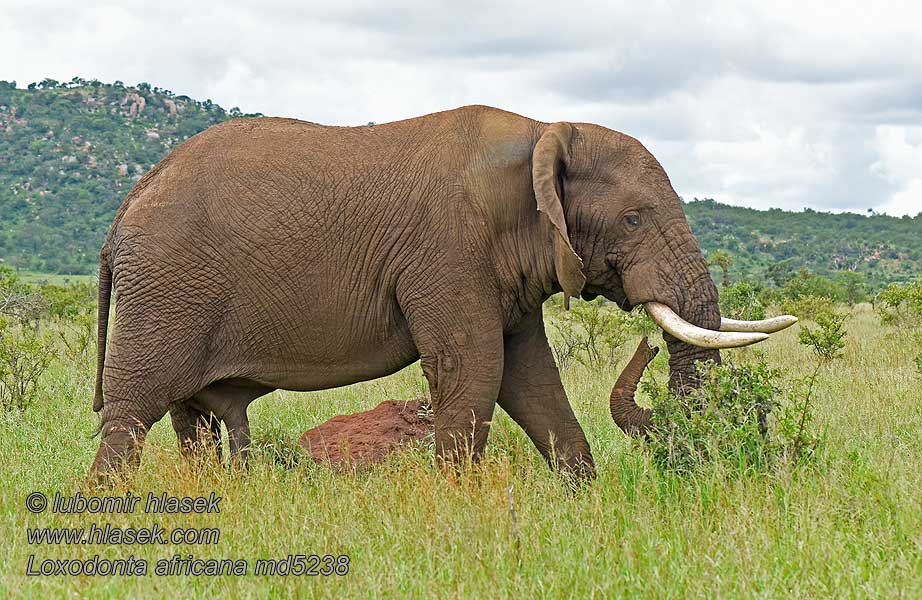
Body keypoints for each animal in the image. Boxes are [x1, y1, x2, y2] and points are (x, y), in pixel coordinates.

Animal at [90, 102, 792, 478]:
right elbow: (475, 371)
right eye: (634, 219)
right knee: (131, 413)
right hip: (167, 290)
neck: (541, 133)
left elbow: (531, 379)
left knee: (195, 417)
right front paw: (461, 505)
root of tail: (124, 210)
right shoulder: (448, 253)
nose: (645, 344)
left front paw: (583, 502)